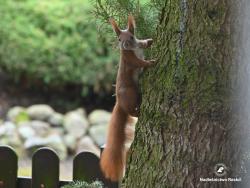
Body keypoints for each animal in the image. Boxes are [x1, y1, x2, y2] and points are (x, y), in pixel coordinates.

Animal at [99, 15, 154, 181]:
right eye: (118, 38)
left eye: (131, 36)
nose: (125, 44)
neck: (133, 49)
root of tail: (119, 103)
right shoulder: (129, 59)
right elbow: (140, 62)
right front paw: (151, 63)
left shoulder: (137, 45)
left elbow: (142, 43)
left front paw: (149, 41)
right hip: (130, 93)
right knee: (132, 111)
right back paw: (138, 112)